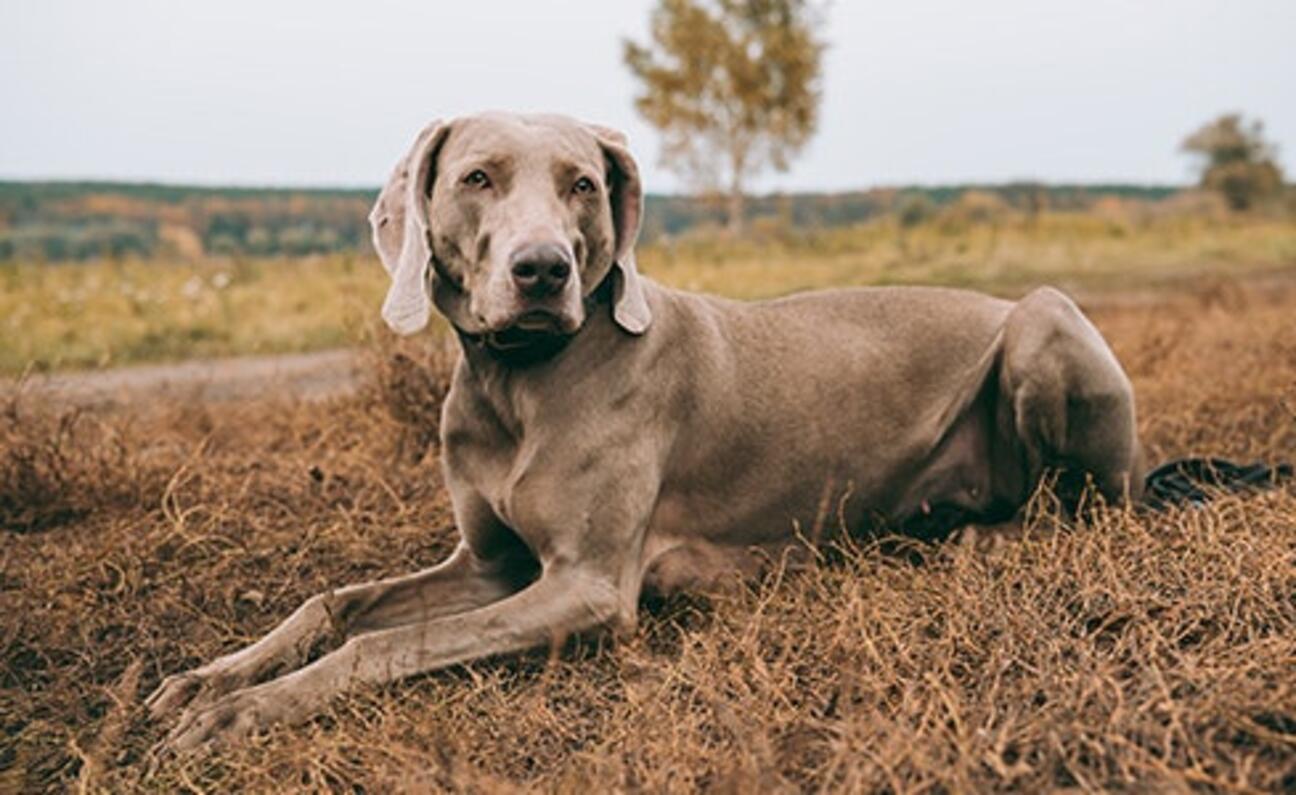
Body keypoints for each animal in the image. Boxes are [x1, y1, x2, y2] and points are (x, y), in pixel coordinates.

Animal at [149, 111, 1145, 752]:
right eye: (476, 178)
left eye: (582, 185)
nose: (543, 269)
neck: (520, 383)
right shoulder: (491, 566)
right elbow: (334, 605)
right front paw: (212, 679)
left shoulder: (586, 586)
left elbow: (381, 643)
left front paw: (243, 713)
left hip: (1045, 317)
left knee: (1088, 503)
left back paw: (980, 533)